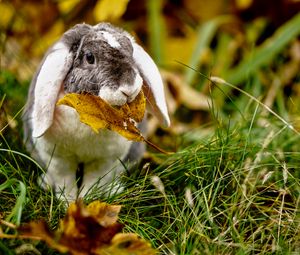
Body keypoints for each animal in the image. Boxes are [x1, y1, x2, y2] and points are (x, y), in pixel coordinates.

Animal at [22, 22, 170, 201]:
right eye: (89, 57)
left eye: (131, 52)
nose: (129, 89)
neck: (88, 112)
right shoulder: (57, 158)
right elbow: (64, 181)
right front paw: (68, 202)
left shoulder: (106, 160)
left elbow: (94, 181)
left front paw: (86, 200)